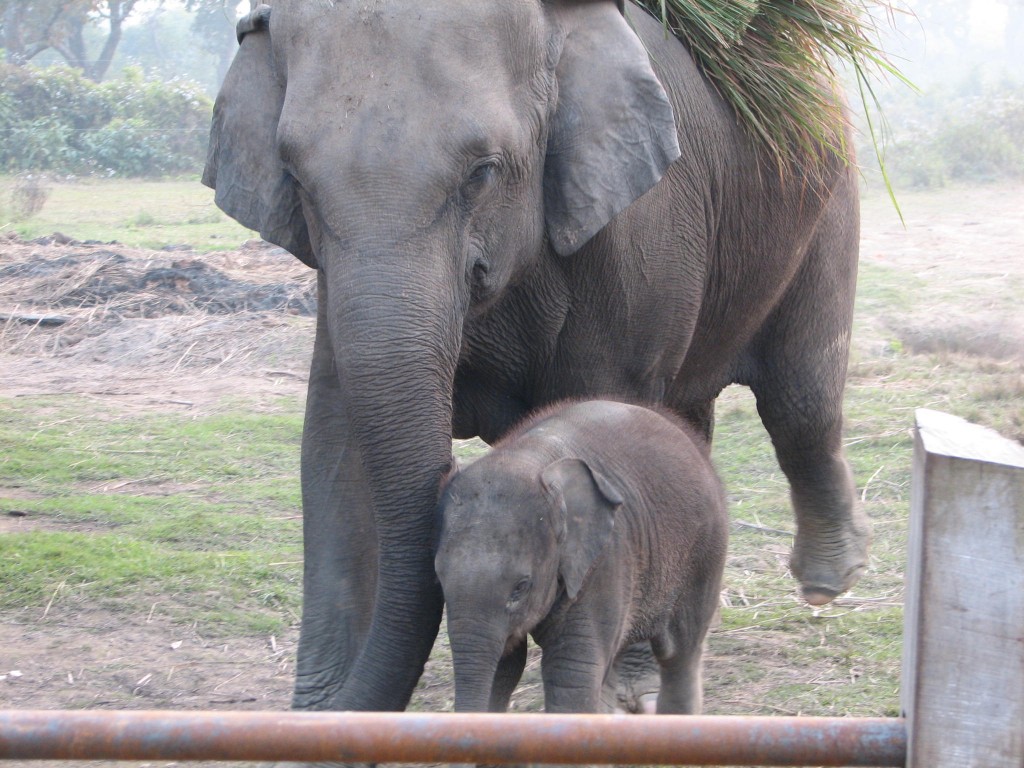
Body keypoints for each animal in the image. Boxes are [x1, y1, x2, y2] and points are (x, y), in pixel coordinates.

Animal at [432, 399, 729, 720]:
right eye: (439, 580)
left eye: (521, 587)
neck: (531, 457)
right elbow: (505, 666)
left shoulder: (604, 561)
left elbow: (571, 675)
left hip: (704, 552)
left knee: (680, 652)